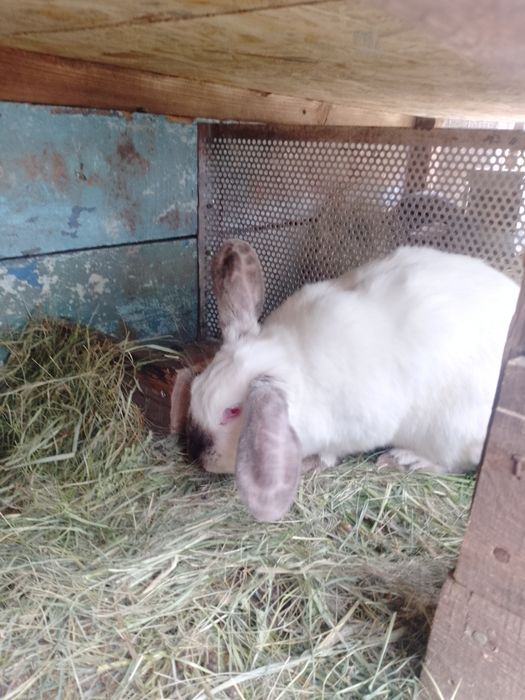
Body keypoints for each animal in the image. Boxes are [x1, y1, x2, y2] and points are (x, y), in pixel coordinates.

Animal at [187, 239, 519, 522]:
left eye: (232, 412)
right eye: (194, 387)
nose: (196, 453)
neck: (294, 362)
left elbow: (328, 456)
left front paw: (308, 464)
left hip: (450, 431)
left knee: (450, 462)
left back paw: (401, 459)